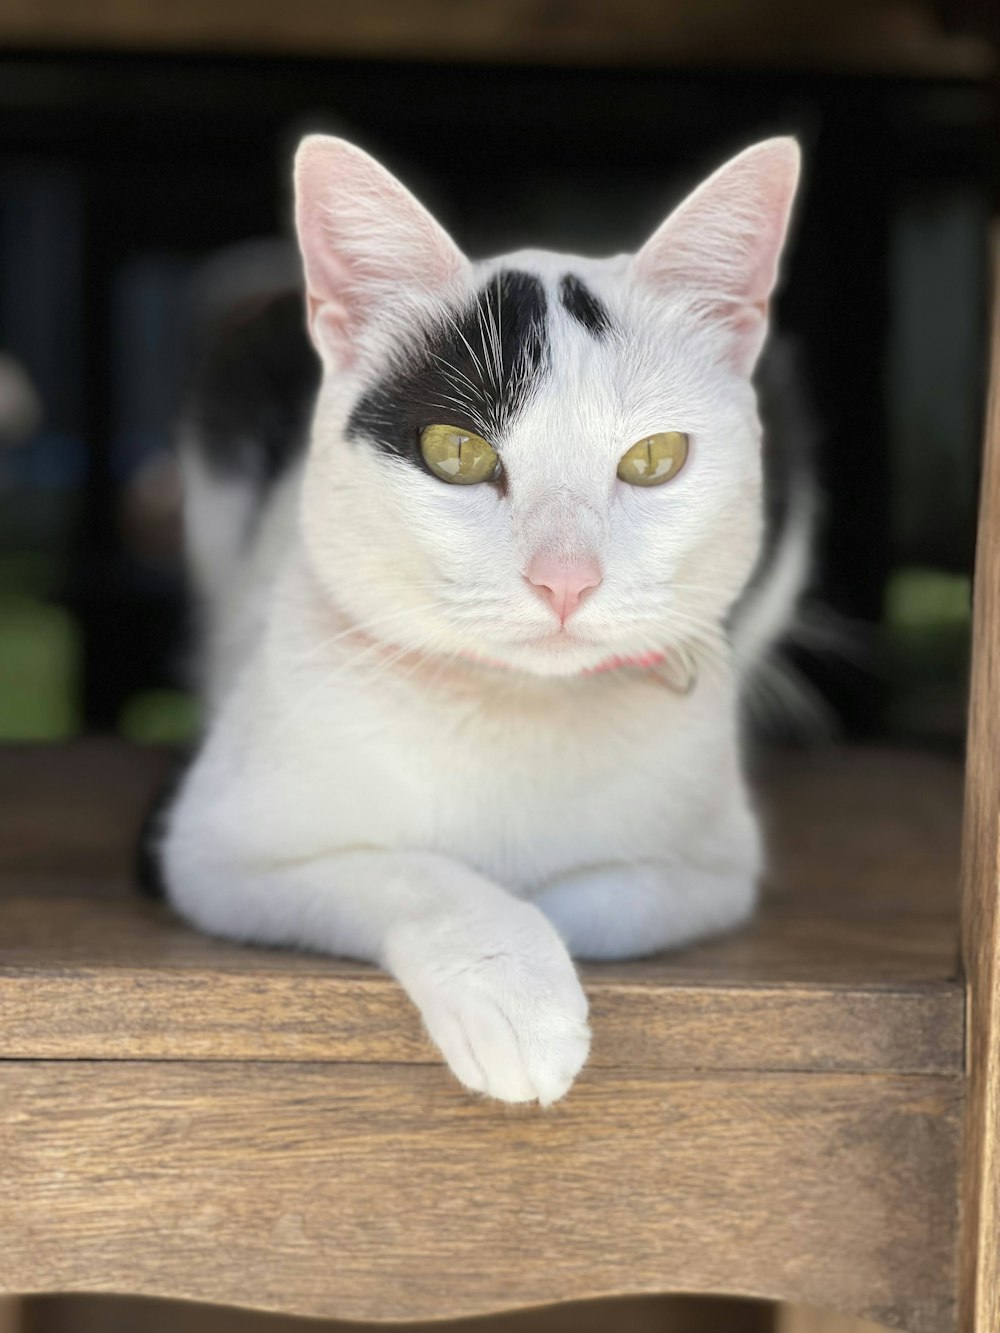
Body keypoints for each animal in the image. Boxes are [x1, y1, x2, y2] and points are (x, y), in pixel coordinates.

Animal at [158, 132, 816, 1103]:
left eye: (654, 458)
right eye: (456, 453)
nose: (565, 580)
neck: (516, 717)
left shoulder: (715, 869)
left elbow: (599, 897)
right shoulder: (212, 855)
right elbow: (412, 869)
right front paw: (513, 987)